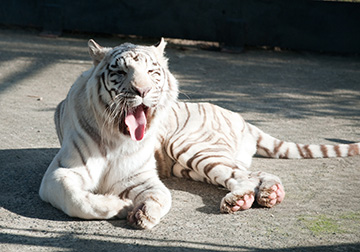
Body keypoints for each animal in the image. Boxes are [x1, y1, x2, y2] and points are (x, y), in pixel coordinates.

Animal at [39, 38, 360, 229]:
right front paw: (117, 205)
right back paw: (265, 196)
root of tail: (241, 117)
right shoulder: (60, 172)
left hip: (192, 147)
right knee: (254, 174)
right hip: (190, 164)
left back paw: (244, 200)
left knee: (244, 176)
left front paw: (143, 213)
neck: (118, 139)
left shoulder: (141, 178)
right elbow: (76, 198)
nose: (141, 90)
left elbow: (161, 197)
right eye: (120, 72)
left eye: (152, 72)